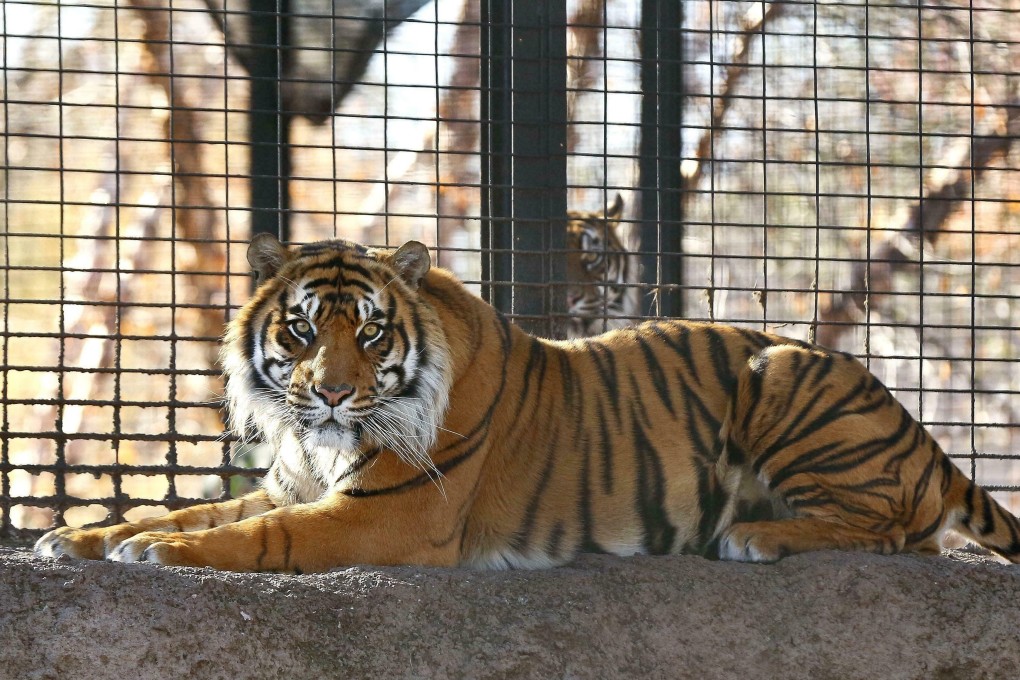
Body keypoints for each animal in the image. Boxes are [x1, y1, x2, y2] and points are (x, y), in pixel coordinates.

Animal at [35, 233, 1020, 572]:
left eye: (372, 334)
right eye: (305, 331)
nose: (335, 395)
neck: (317, 443)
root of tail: (928, 443)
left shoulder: (383, 515)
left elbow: (253, 536)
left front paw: (158, 552)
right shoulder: (296, 481)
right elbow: (194, 508)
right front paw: (84, 537)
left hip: (781, 368)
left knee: (902, 529)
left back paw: (756, 536)